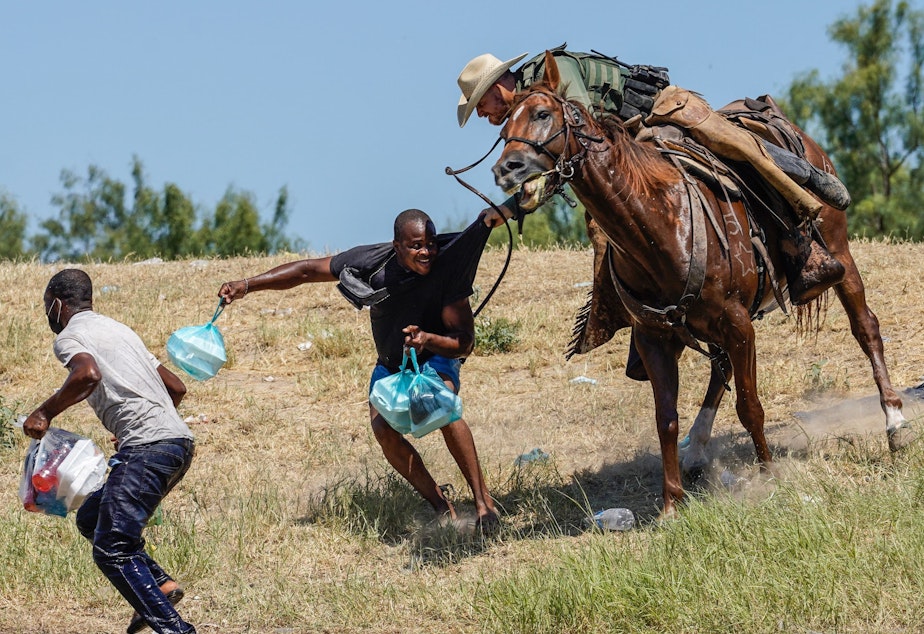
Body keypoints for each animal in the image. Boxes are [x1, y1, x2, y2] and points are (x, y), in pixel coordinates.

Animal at [490, 51, 908, 520]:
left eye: (543, 114)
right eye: (503, 130)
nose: (506, 169)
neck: (660, 224)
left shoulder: (738, 323)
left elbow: (749, 406)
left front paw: (769, 476)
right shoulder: (655, 337)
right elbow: (666, 418)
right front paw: (672, 503)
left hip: (839, 253)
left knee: (865, 327)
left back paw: (894, 421)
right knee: (719, 368)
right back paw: (697, 450)